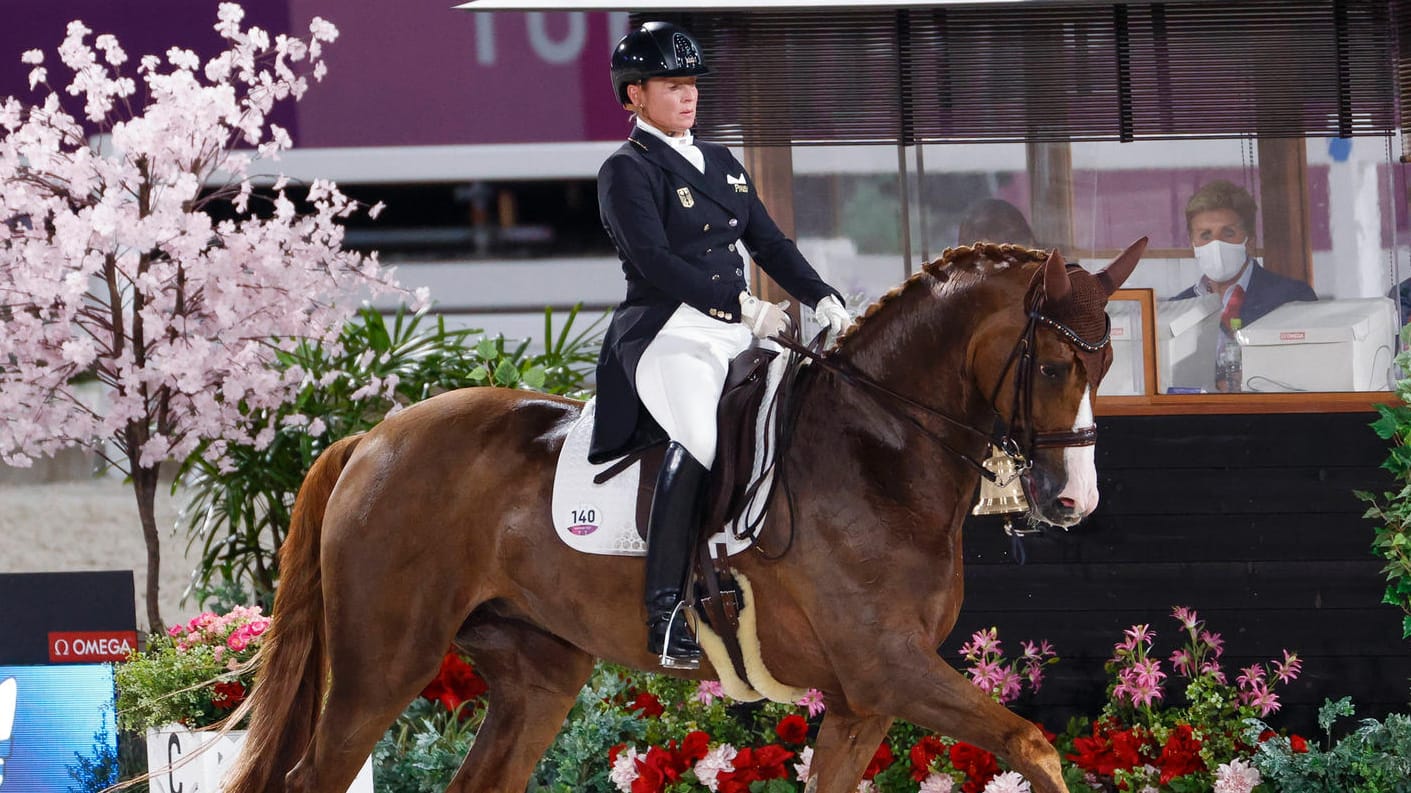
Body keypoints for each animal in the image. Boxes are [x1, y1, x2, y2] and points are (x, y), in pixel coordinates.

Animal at [222, 239, 1145, 790]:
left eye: (1104, 363)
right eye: (1056, 364)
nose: (1074, 499)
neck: (874, 447)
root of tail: (372, 436)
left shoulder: (863, 699)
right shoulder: (889, 668)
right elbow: (1033, 743)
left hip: (538, 671)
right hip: (385, 662)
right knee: (313, 777)